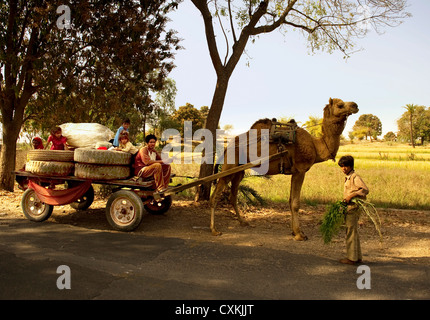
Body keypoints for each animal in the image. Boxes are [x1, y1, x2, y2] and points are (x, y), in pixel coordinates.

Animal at [210, 97, 358, 240]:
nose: (355, 105)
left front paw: (295, 231)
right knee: (215, 195)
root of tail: (227, 147)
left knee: (232, 195)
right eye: (340, 105)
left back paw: (243, 222)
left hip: (239, 171)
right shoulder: (300, 170)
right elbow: (295, 203)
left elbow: (290, 201)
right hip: (229, 166)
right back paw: (214, 230)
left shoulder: (294, 172)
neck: (316, 146)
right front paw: (299, 234)